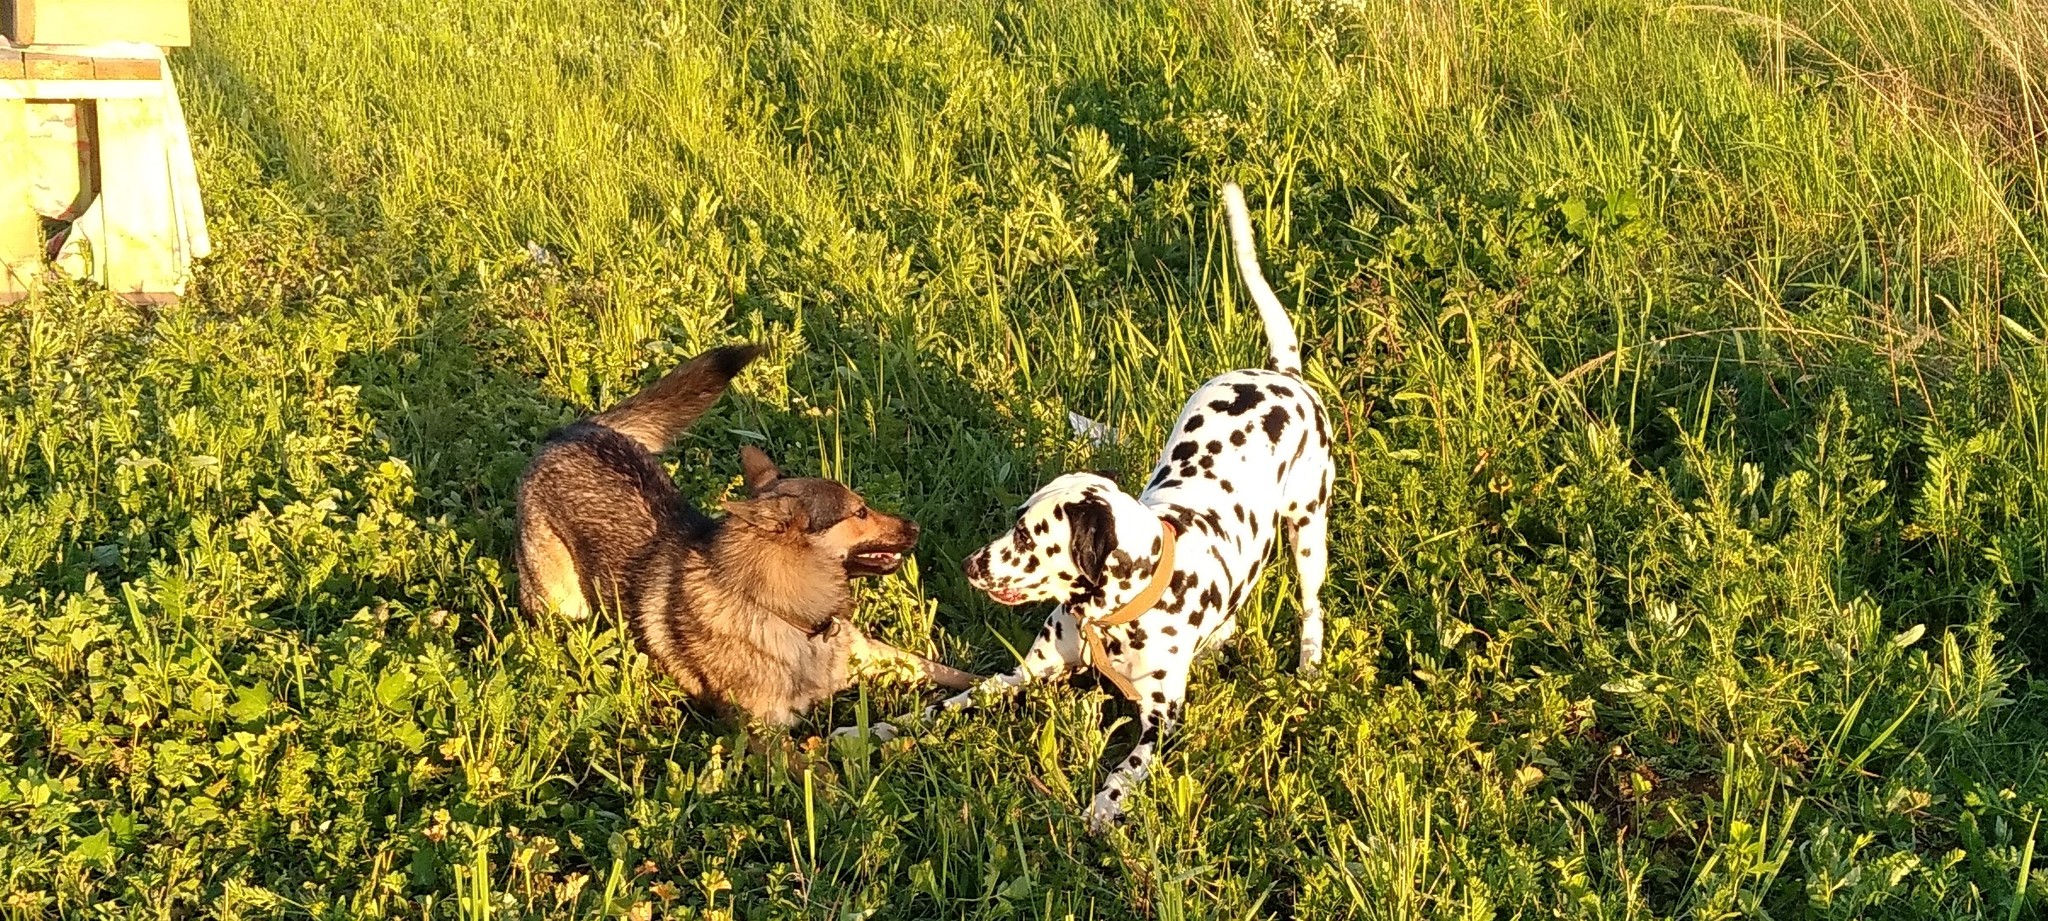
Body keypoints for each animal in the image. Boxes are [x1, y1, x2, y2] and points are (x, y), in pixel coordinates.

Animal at [520, 345, 983, 728]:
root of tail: (574, 430)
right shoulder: (767, 736)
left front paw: (991, 684)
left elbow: (947, 670)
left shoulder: (874, 654)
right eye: (860, 512)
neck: (786, 614)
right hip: (563, 605)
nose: (916, 527)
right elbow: (823, 770)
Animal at [835, 183, 1335, 830]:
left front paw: (1103, 806)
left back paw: (1309, 661)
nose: (969, 564)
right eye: (1014, 520)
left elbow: (1123, 771)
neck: (1115, 613)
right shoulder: (1020, 673)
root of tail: (1282, 375)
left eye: (1028, 536)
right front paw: (874, 731)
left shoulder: (1161, 722)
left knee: (1311, 605)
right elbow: (946, 706)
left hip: (1308, 530)